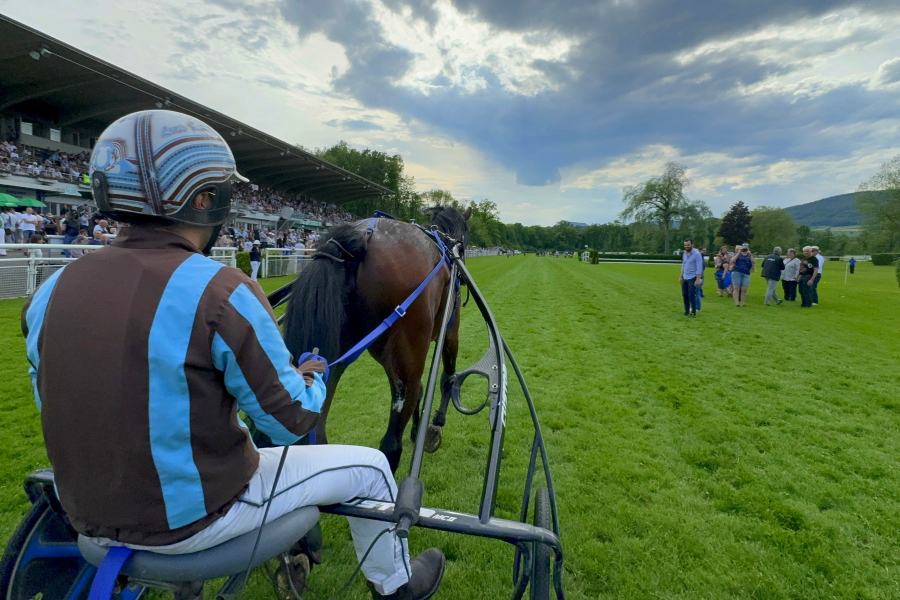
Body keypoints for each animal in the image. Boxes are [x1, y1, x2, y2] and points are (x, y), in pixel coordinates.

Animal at [282, 206, 471, 472]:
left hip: (335, 357)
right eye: (465, 241)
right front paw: (435, 426)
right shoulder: (451, 329)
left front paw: (418, 431)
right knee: (392, 443)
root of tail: (361, 238)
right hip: (408, 355)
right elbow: (447, 378)